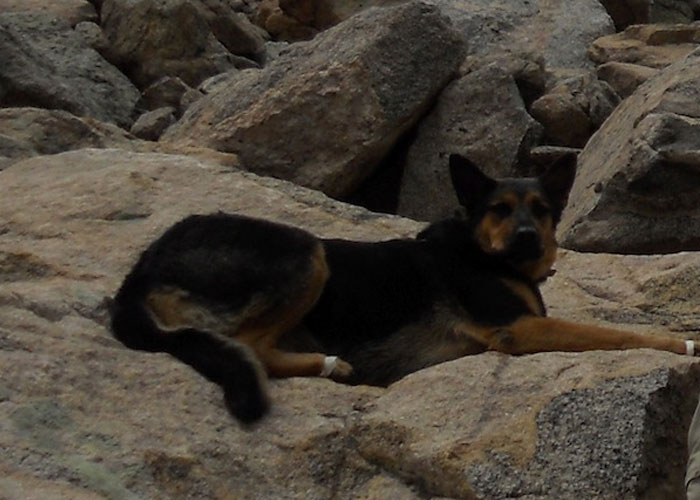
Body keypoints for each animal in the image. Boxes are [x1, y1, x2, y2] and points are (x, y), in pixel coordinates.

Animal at [108, 152, 696, 422]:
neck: (482, 253)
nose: (529, 239)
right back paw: (328, 365)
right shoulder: (517, 329)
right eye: (499, 210)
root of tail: (140, 269)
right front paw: (682, 342)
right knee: (250, 347)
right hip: (306, 248)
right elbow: (615, 333)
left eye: (541, 210)